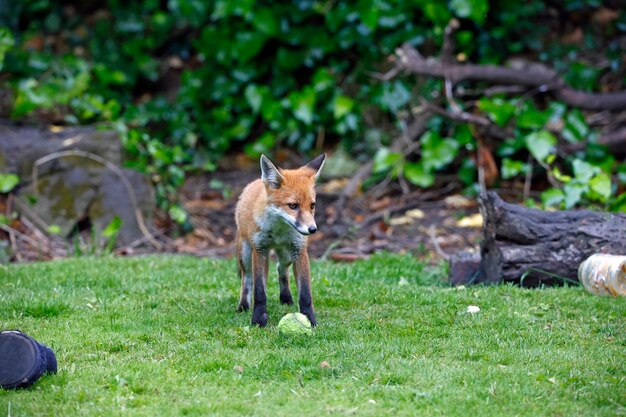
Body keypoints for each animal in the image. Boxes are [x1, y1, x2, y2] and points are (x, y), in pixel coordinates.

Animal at [234, 153, 326, 324]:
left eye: (312, 205)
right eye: (293, 205)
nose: (312, 229)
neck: (279, 230)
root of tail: (256, 181)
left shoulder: (300, 250)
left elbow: (305, 294)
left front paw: (310, 320)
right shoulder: (259, 249)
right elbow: (259, 291)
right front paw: (258, 319)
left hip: (286, 256)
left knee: (281, 269)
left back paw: (286, 298)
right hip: (246, 254)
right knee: (248, 278)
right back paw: (243, 306)